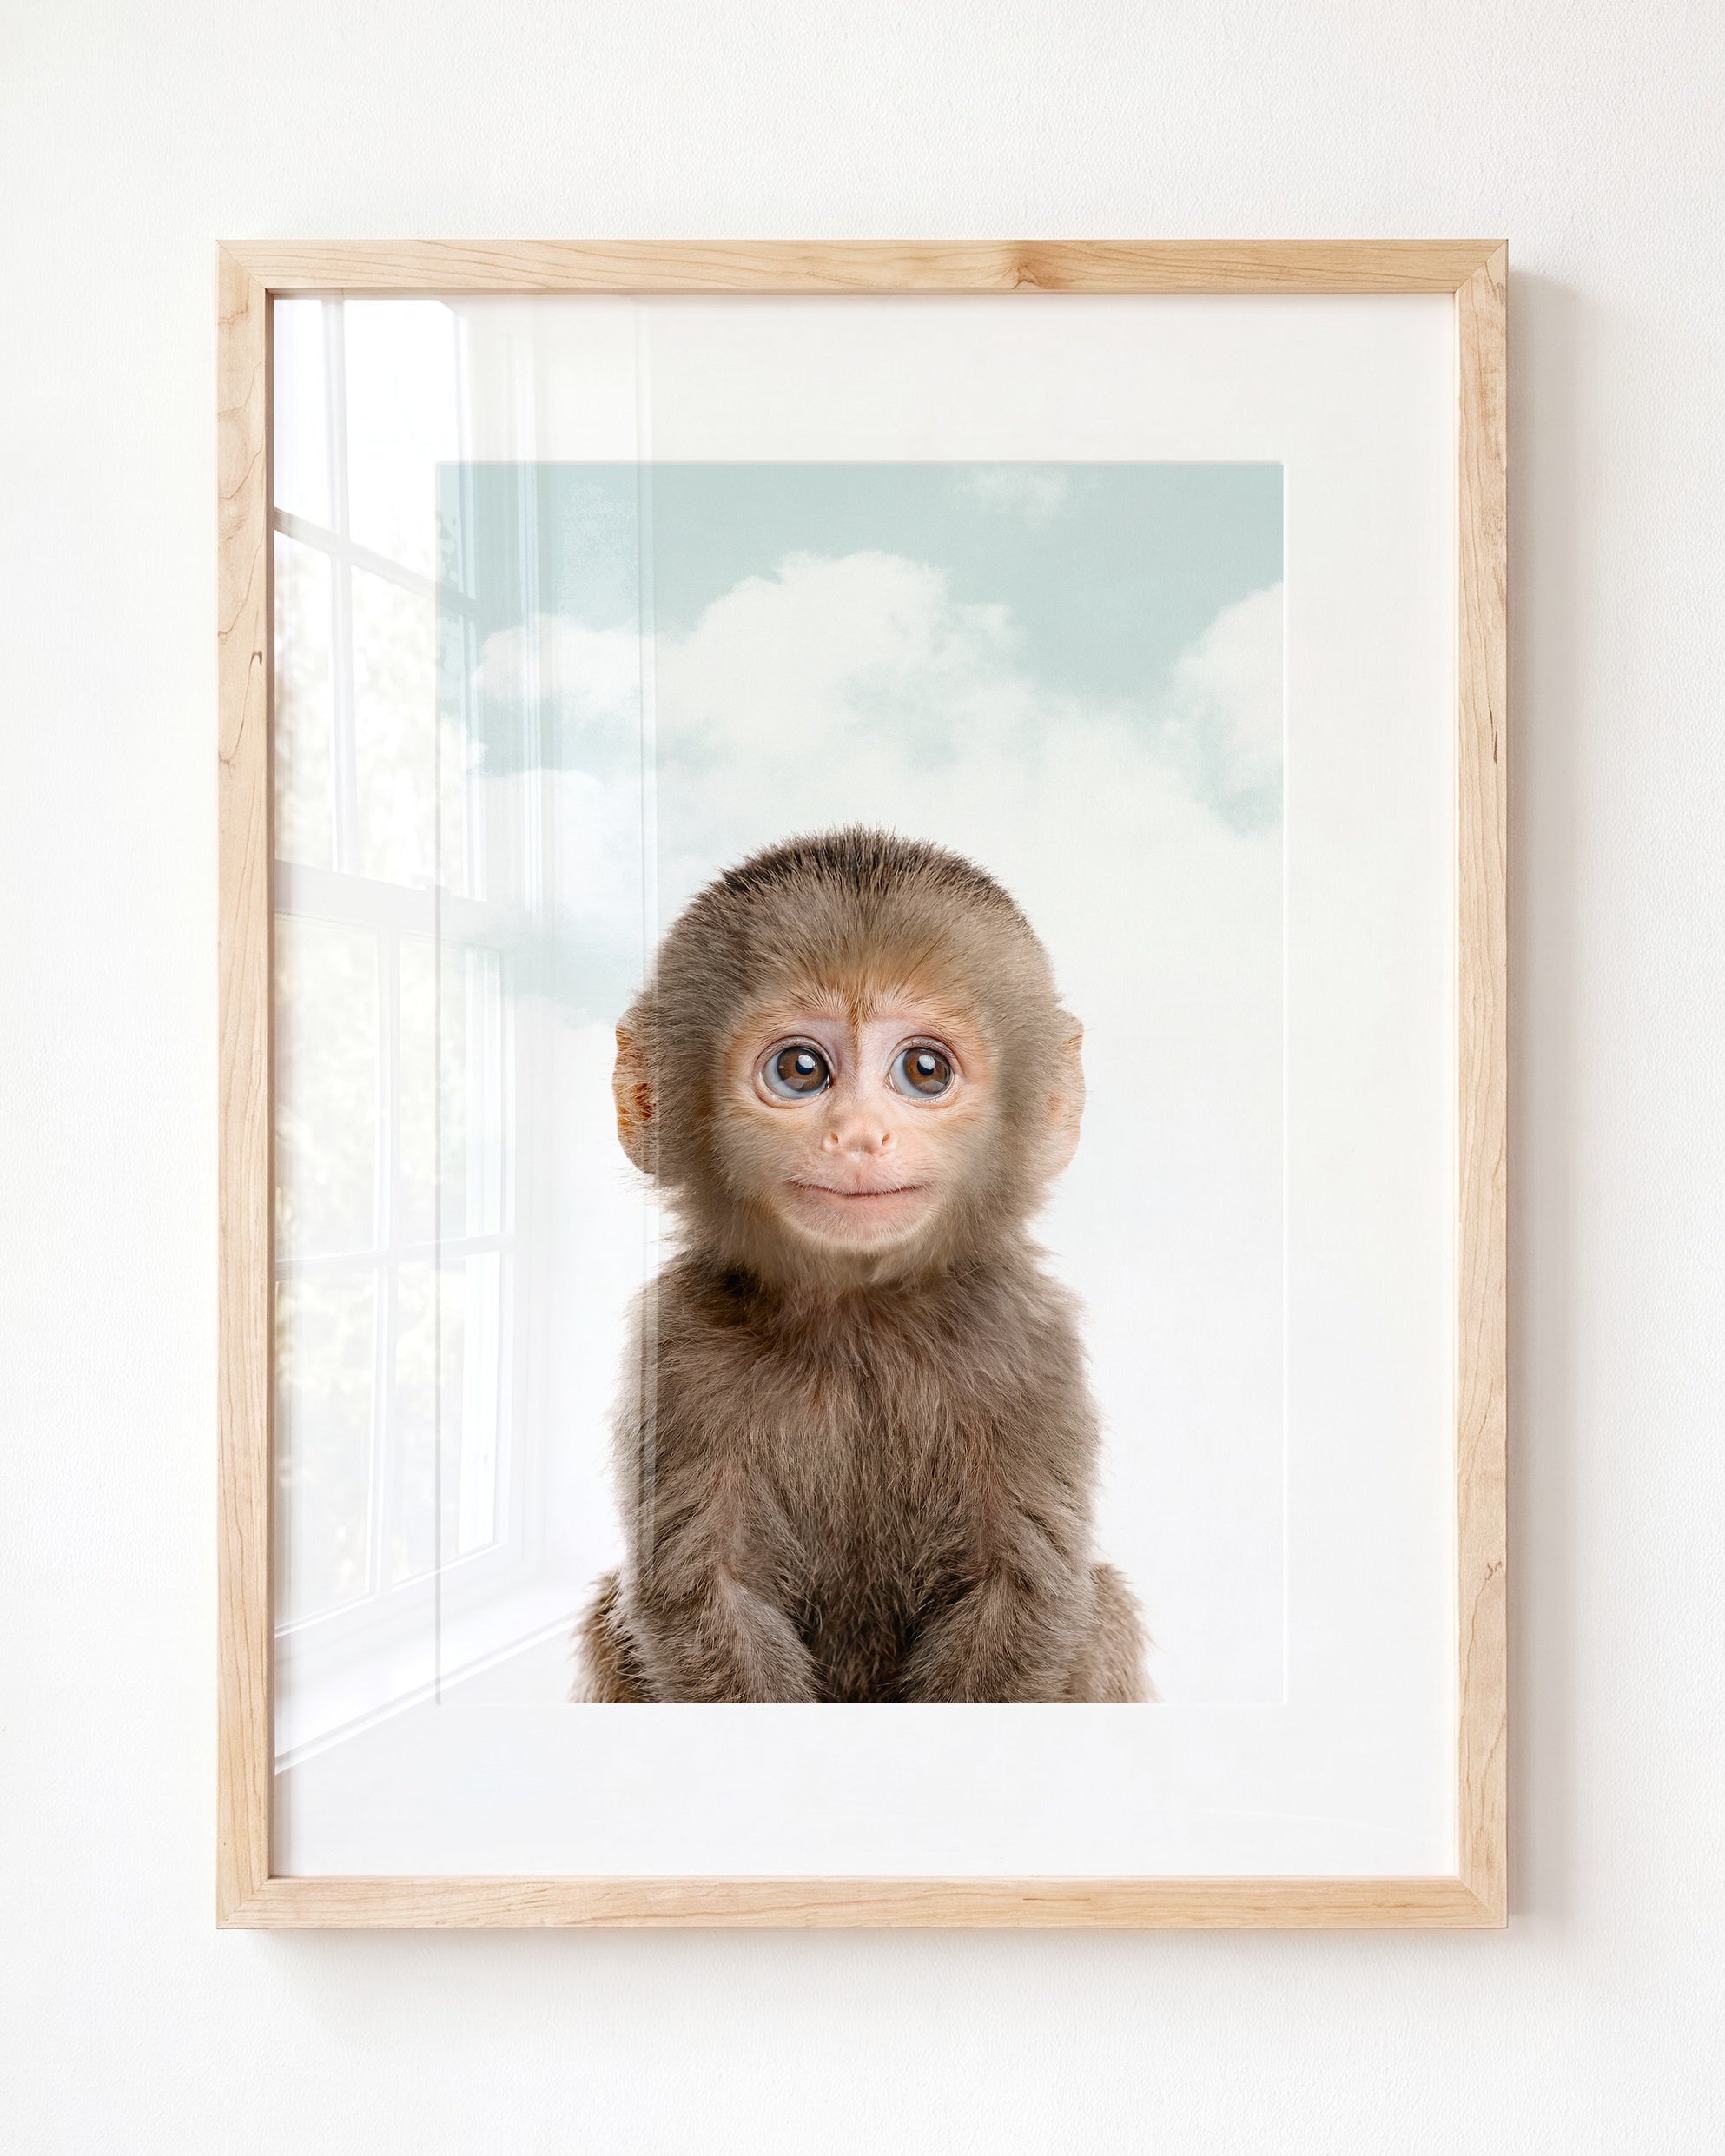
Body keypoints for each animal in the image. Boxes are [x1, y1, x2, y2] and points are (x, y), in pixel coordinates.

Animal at [574, 826, 1147, 1703]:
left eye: (924, 1070)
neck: (859, 1319)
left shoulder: (1029, 1345)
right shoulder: (676, 1350)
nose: (859, 1136)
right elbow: (703, 1593)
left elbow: (1021, 1590)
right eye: (801, 1069)